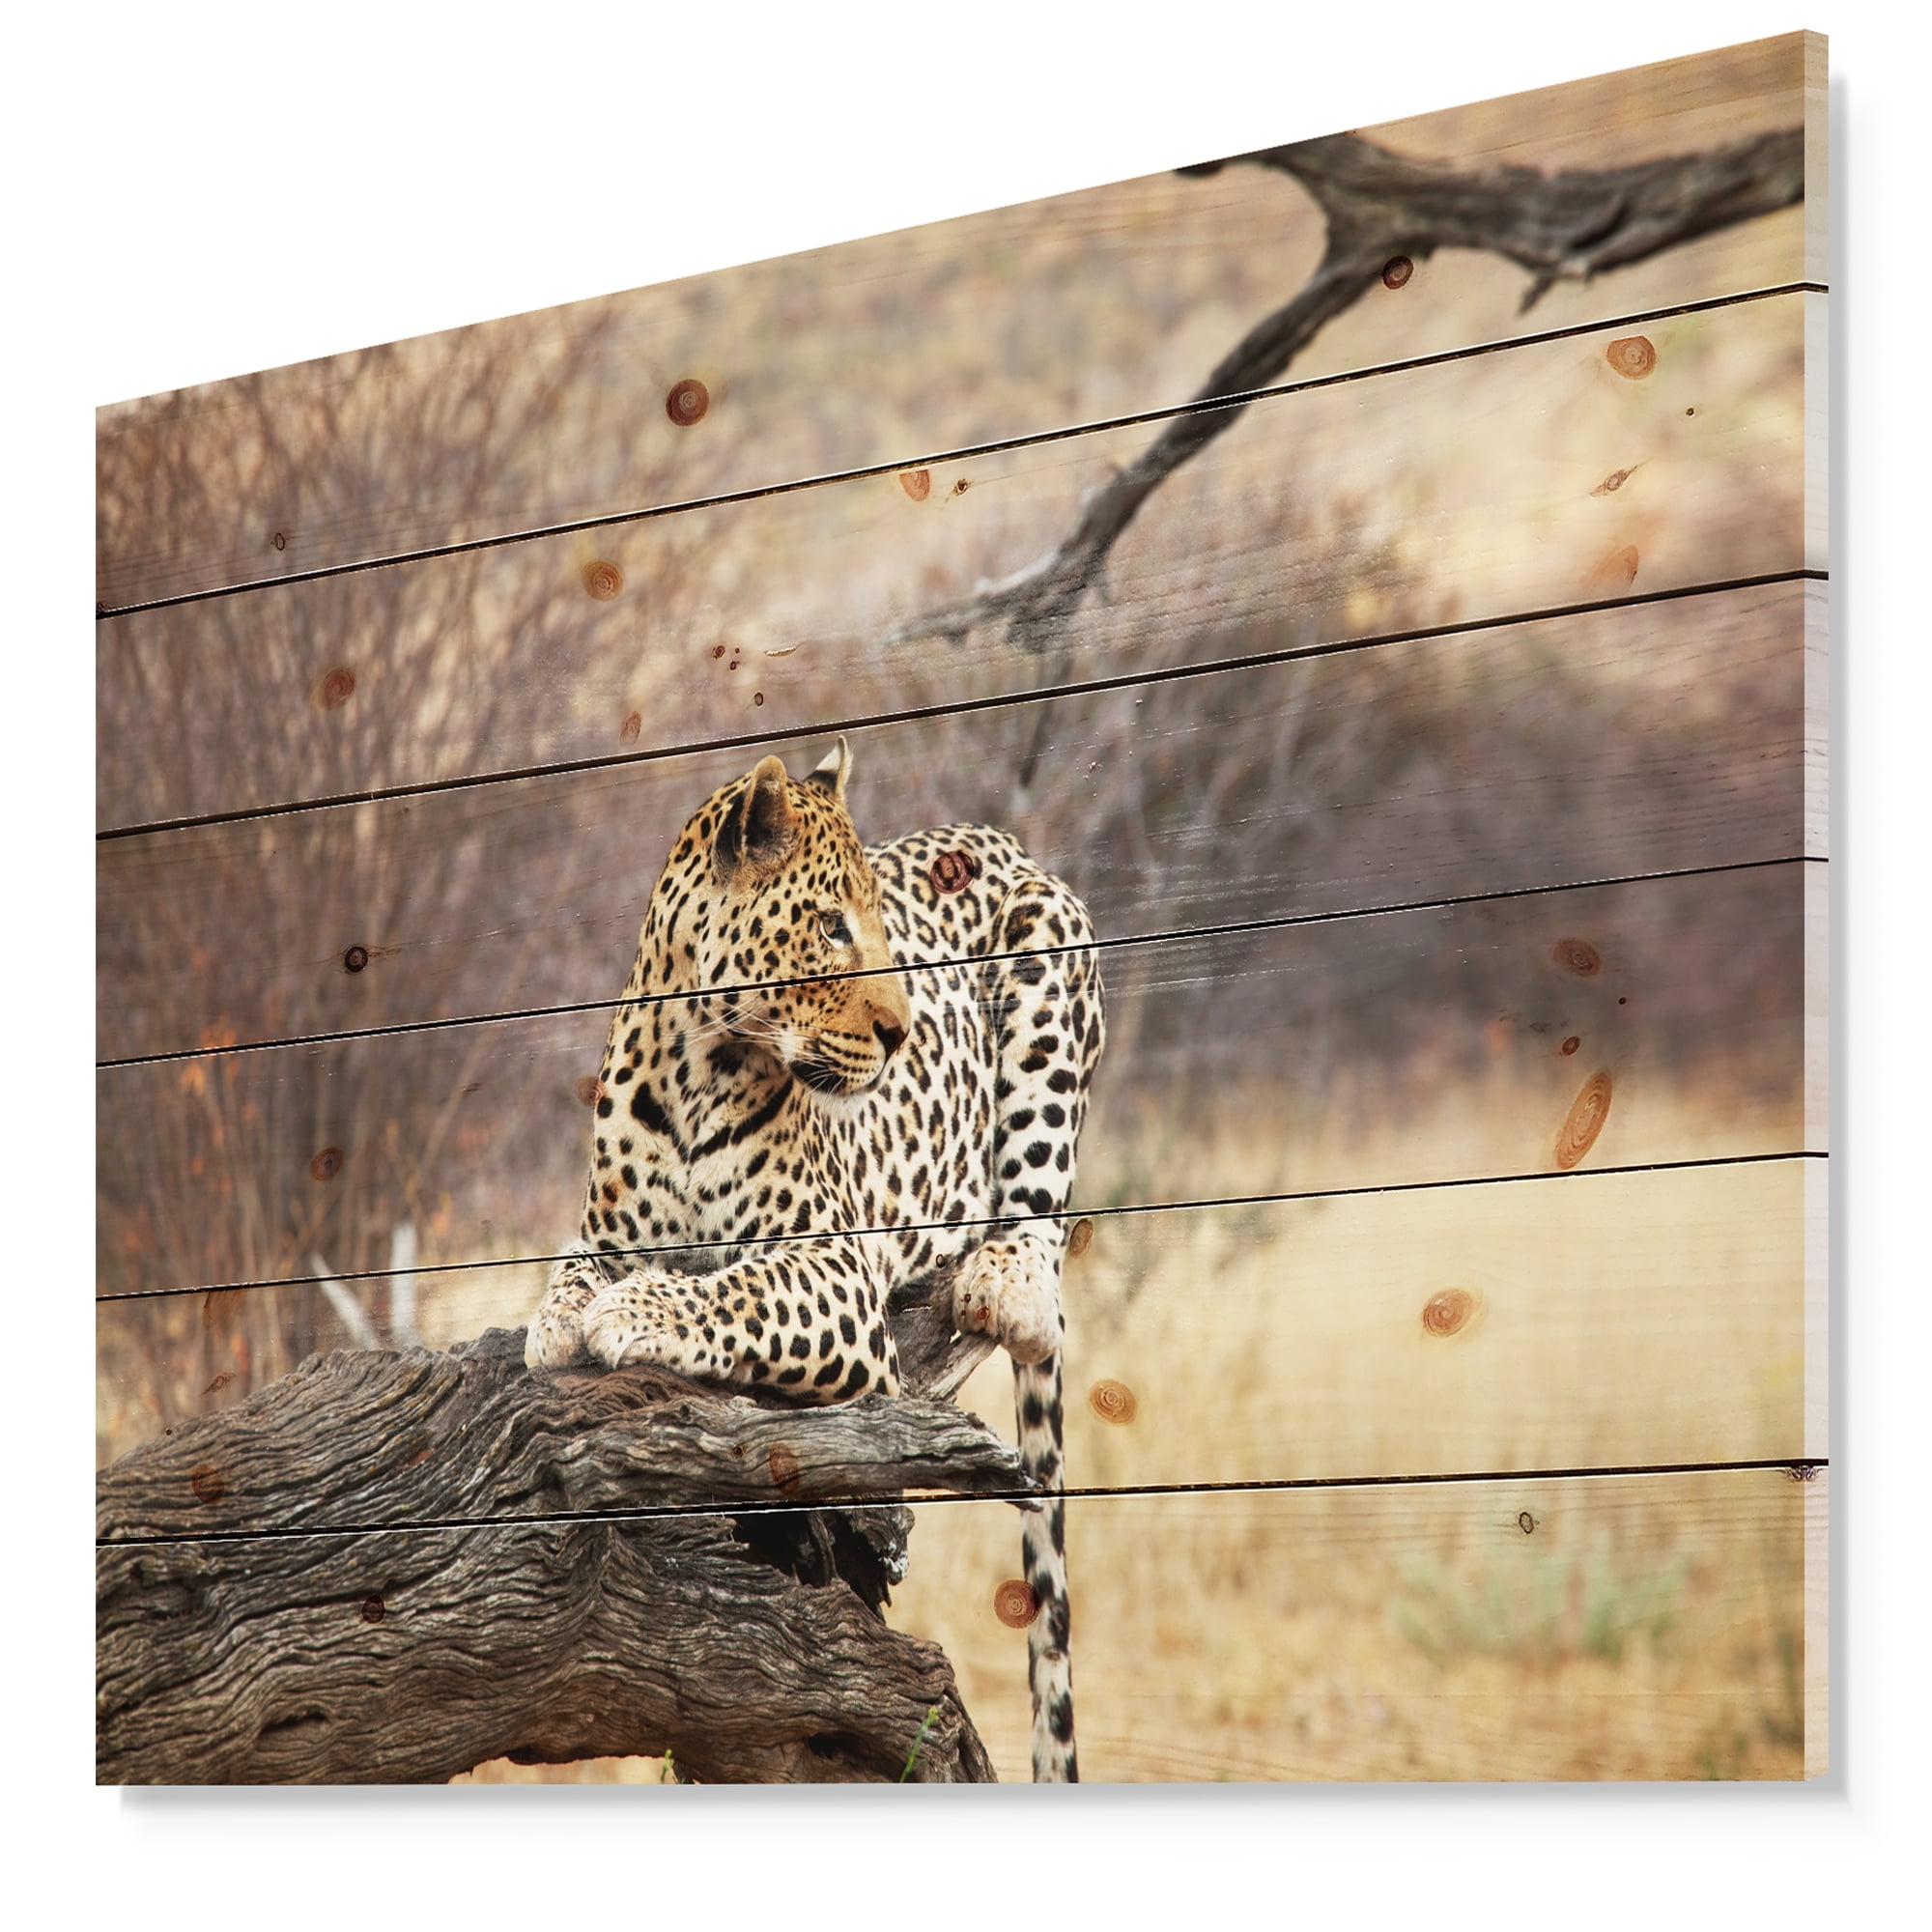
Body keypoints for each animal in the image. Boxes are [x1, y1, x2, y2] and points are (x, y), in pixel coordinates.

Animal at [525, 736, 1105, 1782]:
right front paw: (554, 1324)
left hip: (1051, 963)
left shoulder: (830, 1269)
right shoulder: (601, 1232)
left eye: (872, 927)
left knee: (1038, 1211)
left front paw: (633, 1311)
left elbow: (735, 1288)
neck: (692, 1062)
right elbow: (571, 1275)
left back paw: (1004, 1276)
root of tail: (996, 836)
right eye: (831, 926)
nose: (902, 1031)